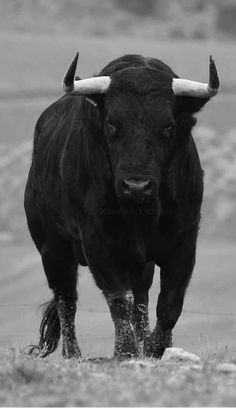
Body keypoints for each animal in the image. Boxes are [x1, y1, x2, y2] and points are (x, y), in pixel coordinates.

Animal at [24, 53, 216, 356]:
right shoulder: (98, 242)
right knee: (67, 299)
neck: (141, 213)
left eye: (168, 126)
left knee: (140, 300)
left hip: (139, 265)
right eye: (112, 124)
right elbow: (117, 300)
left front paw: (155, 349)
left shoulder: (184, 241)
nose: (136, 185)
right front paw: (125, 351)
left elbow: (169, 305)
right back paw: (73, 354)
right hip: (52, 247)